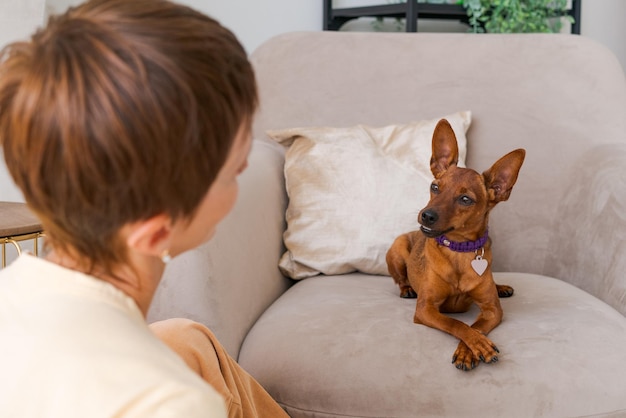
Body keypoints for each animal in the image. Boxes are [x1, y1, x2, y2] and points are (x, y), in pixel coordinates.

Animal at [386, 119, 520, 370]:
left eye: (465, 199)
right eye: (434, 187)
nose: (426, 215)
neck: (459, 251)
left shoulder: (493, 310)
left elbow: (474, 326)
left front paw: (469, 349)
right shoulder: (426, 308)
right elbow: (457, 324)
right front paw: (476, 345)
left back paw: (501, 286)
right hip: (397, 248)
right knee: (400, 278)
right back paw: (407, 288)